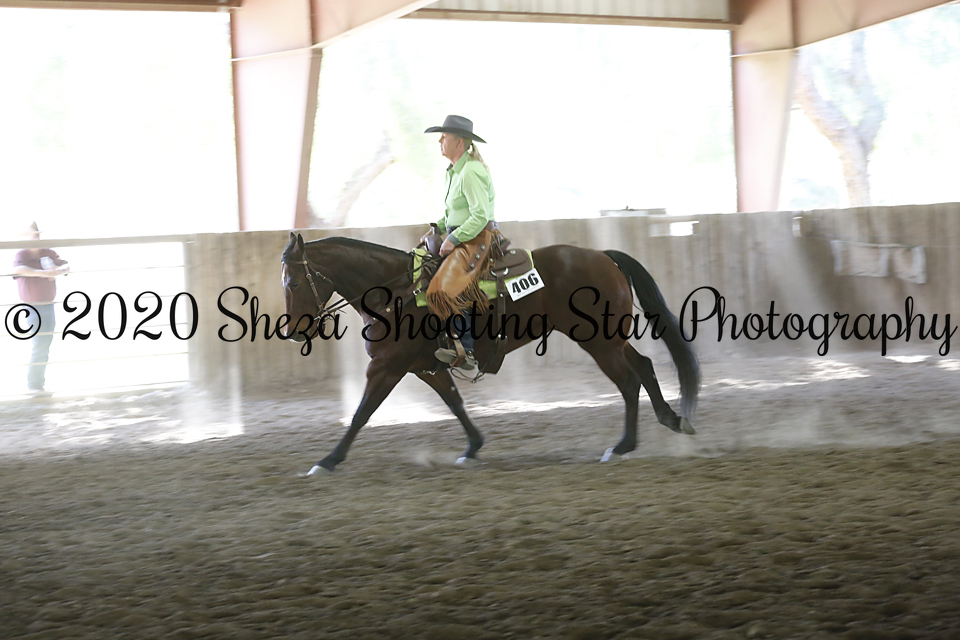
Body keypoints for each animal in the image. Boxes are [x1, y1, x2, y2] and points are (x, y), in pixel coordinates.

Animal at [280, 232, 699, 474]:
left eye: (295, 282)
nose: (293, 331)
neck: (397, 294)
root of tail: (604, 256)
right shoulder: (426, 368)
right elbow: (455, 403)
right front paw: (472, 448)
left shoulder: (387, 367)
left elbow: (361, 414)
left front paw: (327, 461)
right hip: (610, 340)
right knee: (644, 367)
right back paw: (673, 420)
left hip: (598, 342)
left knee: (629, 382)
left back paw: (622, 446)